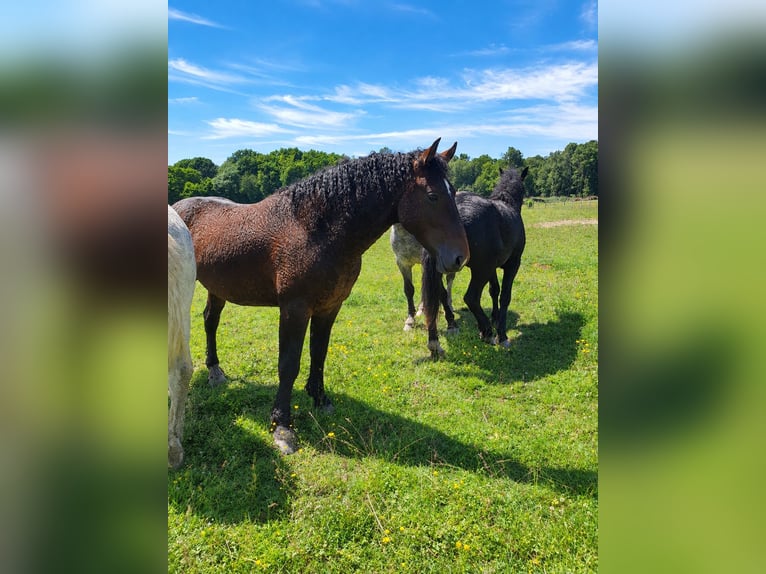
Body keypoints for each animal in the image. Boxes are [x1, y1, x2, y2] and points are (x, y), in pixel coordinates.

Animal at [173, 139, 469, 454]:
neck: (314, 230)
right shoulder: (294, 309)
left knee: (210, 321)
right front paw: (282, 426)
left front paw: (319, 398)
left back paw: (215, 371)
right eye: (432, 196)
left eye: (453, 193)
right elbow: (288, 364)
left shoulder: (329, 307)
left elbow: (319, 353)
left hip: (217, 288)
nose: (460, 257)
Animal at [422, 166, 527, 358]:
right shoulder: (512, 264)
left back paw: (436, 342)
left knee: (437, 297)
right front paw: (502, 334)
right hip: (480, 271)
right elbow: (505, 296)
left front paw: (495, 317)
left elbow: (494, 290)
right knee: (471, 298)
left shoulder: (492, 268)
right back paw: (487, 332)